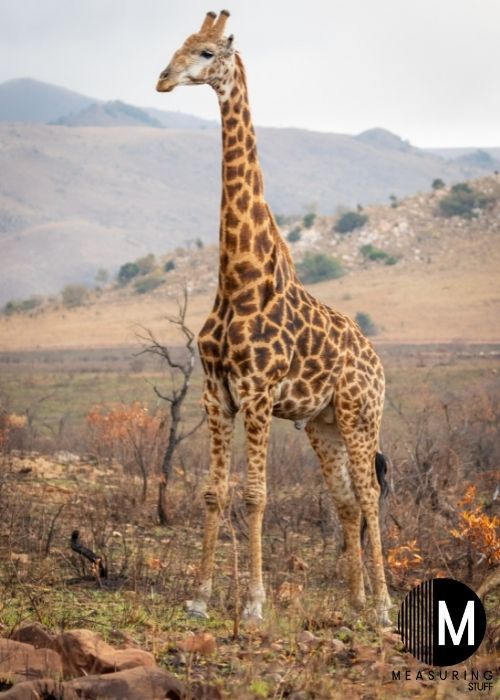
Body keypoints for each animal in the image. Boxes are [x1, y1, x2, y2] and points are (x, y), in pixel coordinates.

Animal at [156, 10, 392, 625]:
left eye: (208, 51)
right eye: (179, 44)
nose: (163, 79)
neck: (239, 280)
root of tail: (378, 363)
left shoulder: (258, 392)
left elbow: (256, 495)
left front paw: (255, 604)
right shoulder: (216, 393)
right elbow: (214, 492)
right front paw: (199, 597)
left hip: (361, 415)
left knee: (370, 495)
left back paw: (384, 607)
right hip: (322, 424)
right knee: (346, 501)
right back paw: (357, 599)